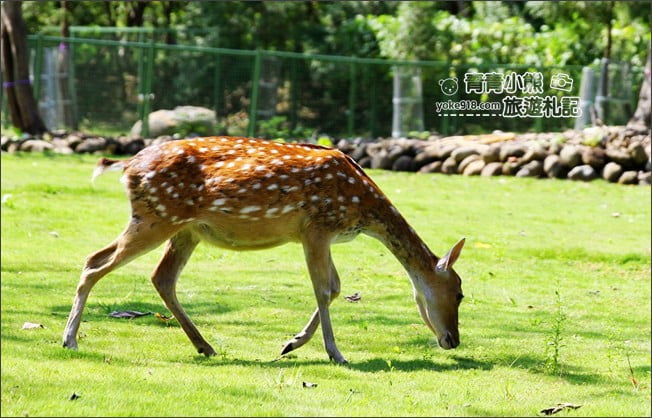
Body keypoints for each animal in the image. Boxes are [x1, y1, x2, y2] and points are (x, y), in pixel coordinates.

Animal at [62, 136, 465, 364]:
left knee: (158, 276)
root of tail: (126, 165)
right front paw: (335, 353)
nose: (453, 340)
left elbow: (335, 287)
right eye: (461, 292)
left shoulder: (321, 235)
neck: (361, 209)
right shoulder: (316, 227)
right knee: (96, 263)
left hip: (184, 228)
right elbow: (324, 289)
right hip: (158, 216)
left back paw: (205, 346)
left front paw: (292, 344)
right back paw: (70, 340)